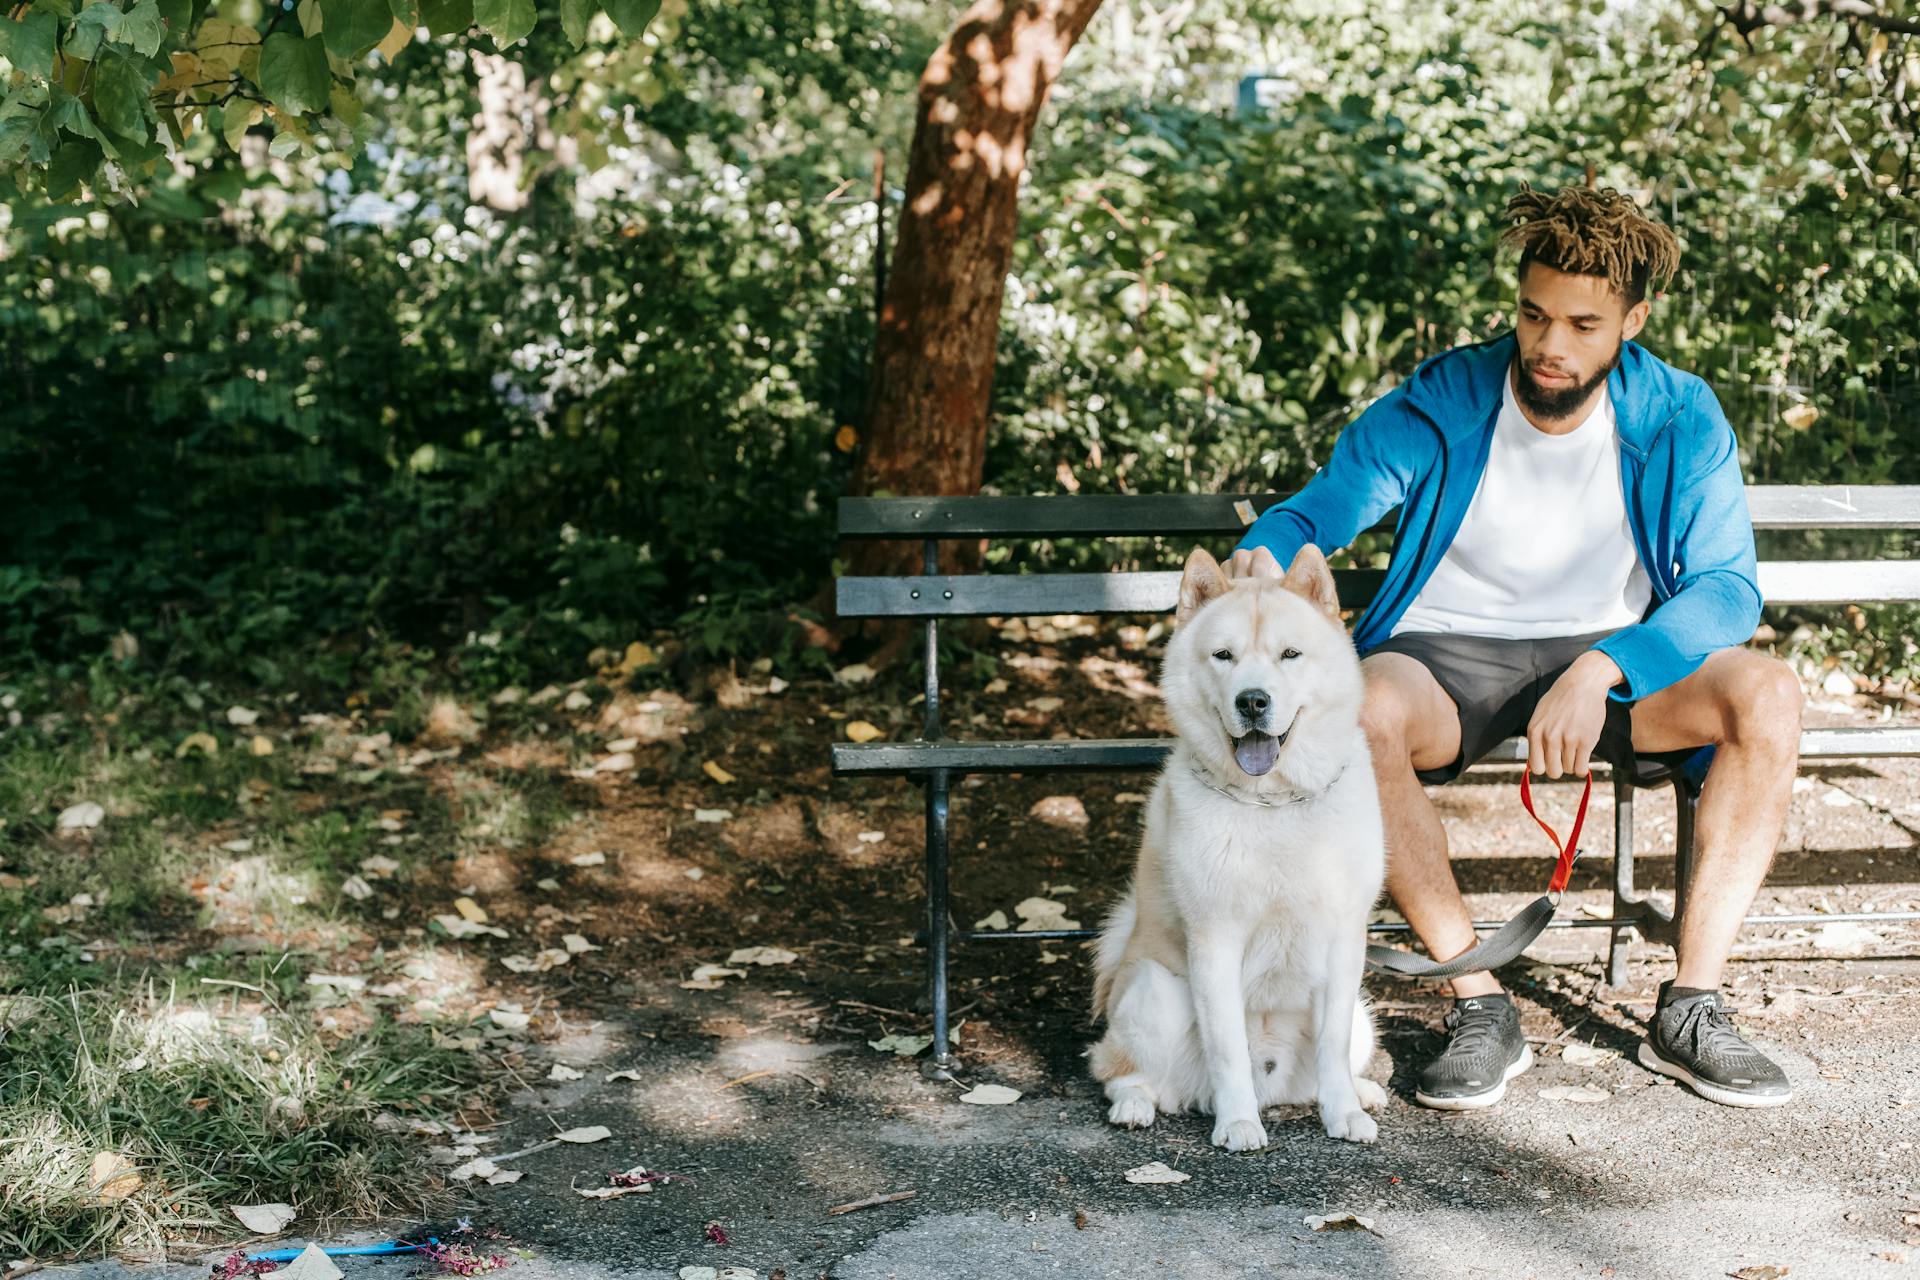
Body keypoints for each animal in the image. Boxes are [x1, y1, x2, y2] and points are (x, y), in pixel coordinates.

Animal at [1090, 545, 1390, 1151]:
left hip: (1364, 1018)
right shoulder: (1215, 939)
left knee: (1326, 1067)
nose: (1253, 700)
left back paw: (1360, 1092)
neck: (1273, 802)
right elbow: (1227, 1047)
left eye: (1290, 654)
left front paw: (1345, 1112)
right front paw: (1238, 1124)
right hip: (1153, 992)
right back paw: (1136, 1105)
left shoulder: (1345, 941)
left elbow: (1332, 1047)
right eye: (1223, 656)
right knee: (1120, 1071)